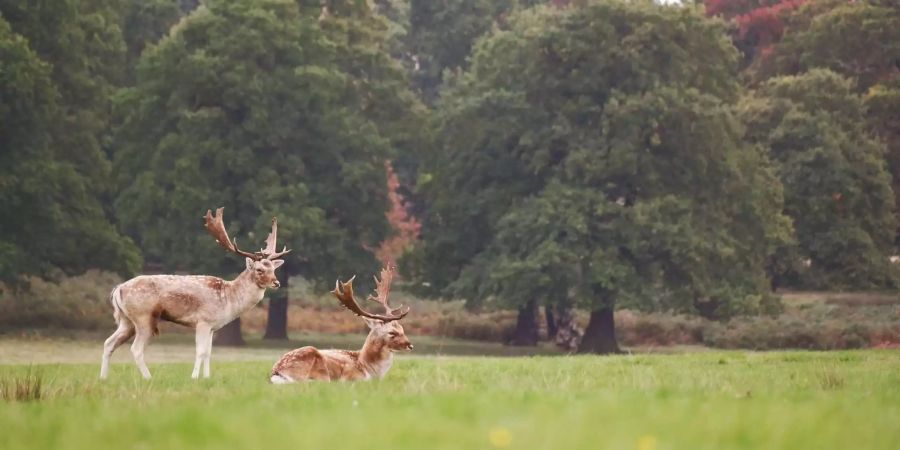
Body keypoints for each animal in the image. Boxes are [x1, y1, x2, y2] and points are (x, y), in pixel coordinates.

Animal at [103, 208, 292, 380]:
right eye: (259, 269)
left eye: (273, 268)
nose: (277, 283)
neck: (228, 299)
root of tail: (118, 289)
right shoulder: (203, 321)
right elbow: (200, 351)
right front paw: (194, 377)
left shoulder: (212, 327)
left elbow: (208, 352)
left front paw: (206, 378)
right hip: (143, 317)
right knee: (135, 349)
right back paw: (148, 377)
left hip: (126, 320)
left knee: (108, 343)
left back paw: (103, 378)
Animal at [268, 268, 414, 384]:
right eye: (392, 332)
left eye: (402, 329)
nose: (410, 345)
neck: (367, 366)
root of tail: (277, 372)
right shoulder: (352, 377)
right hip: (319, 371)